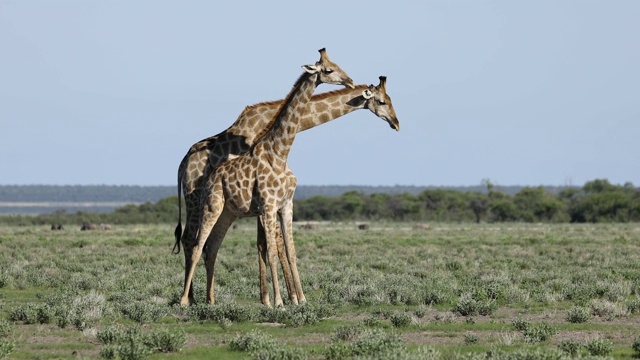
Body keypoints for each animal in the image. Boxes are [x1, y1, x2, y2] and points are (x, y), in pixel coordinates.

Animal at [172, 48, 398, 306]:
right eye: (381, 101)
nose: (396, 122)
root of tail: (182, 164)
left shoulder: (272, 204)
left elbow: (275, 246)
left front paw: (281, 297)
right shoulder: (266, 203)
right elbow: (272, 245)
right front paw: (285, 298)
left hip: (223, 209)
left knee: (209, 244)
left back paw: (208, 298)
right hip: (198, 200)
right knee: (191, 240)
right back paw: (188, 298)